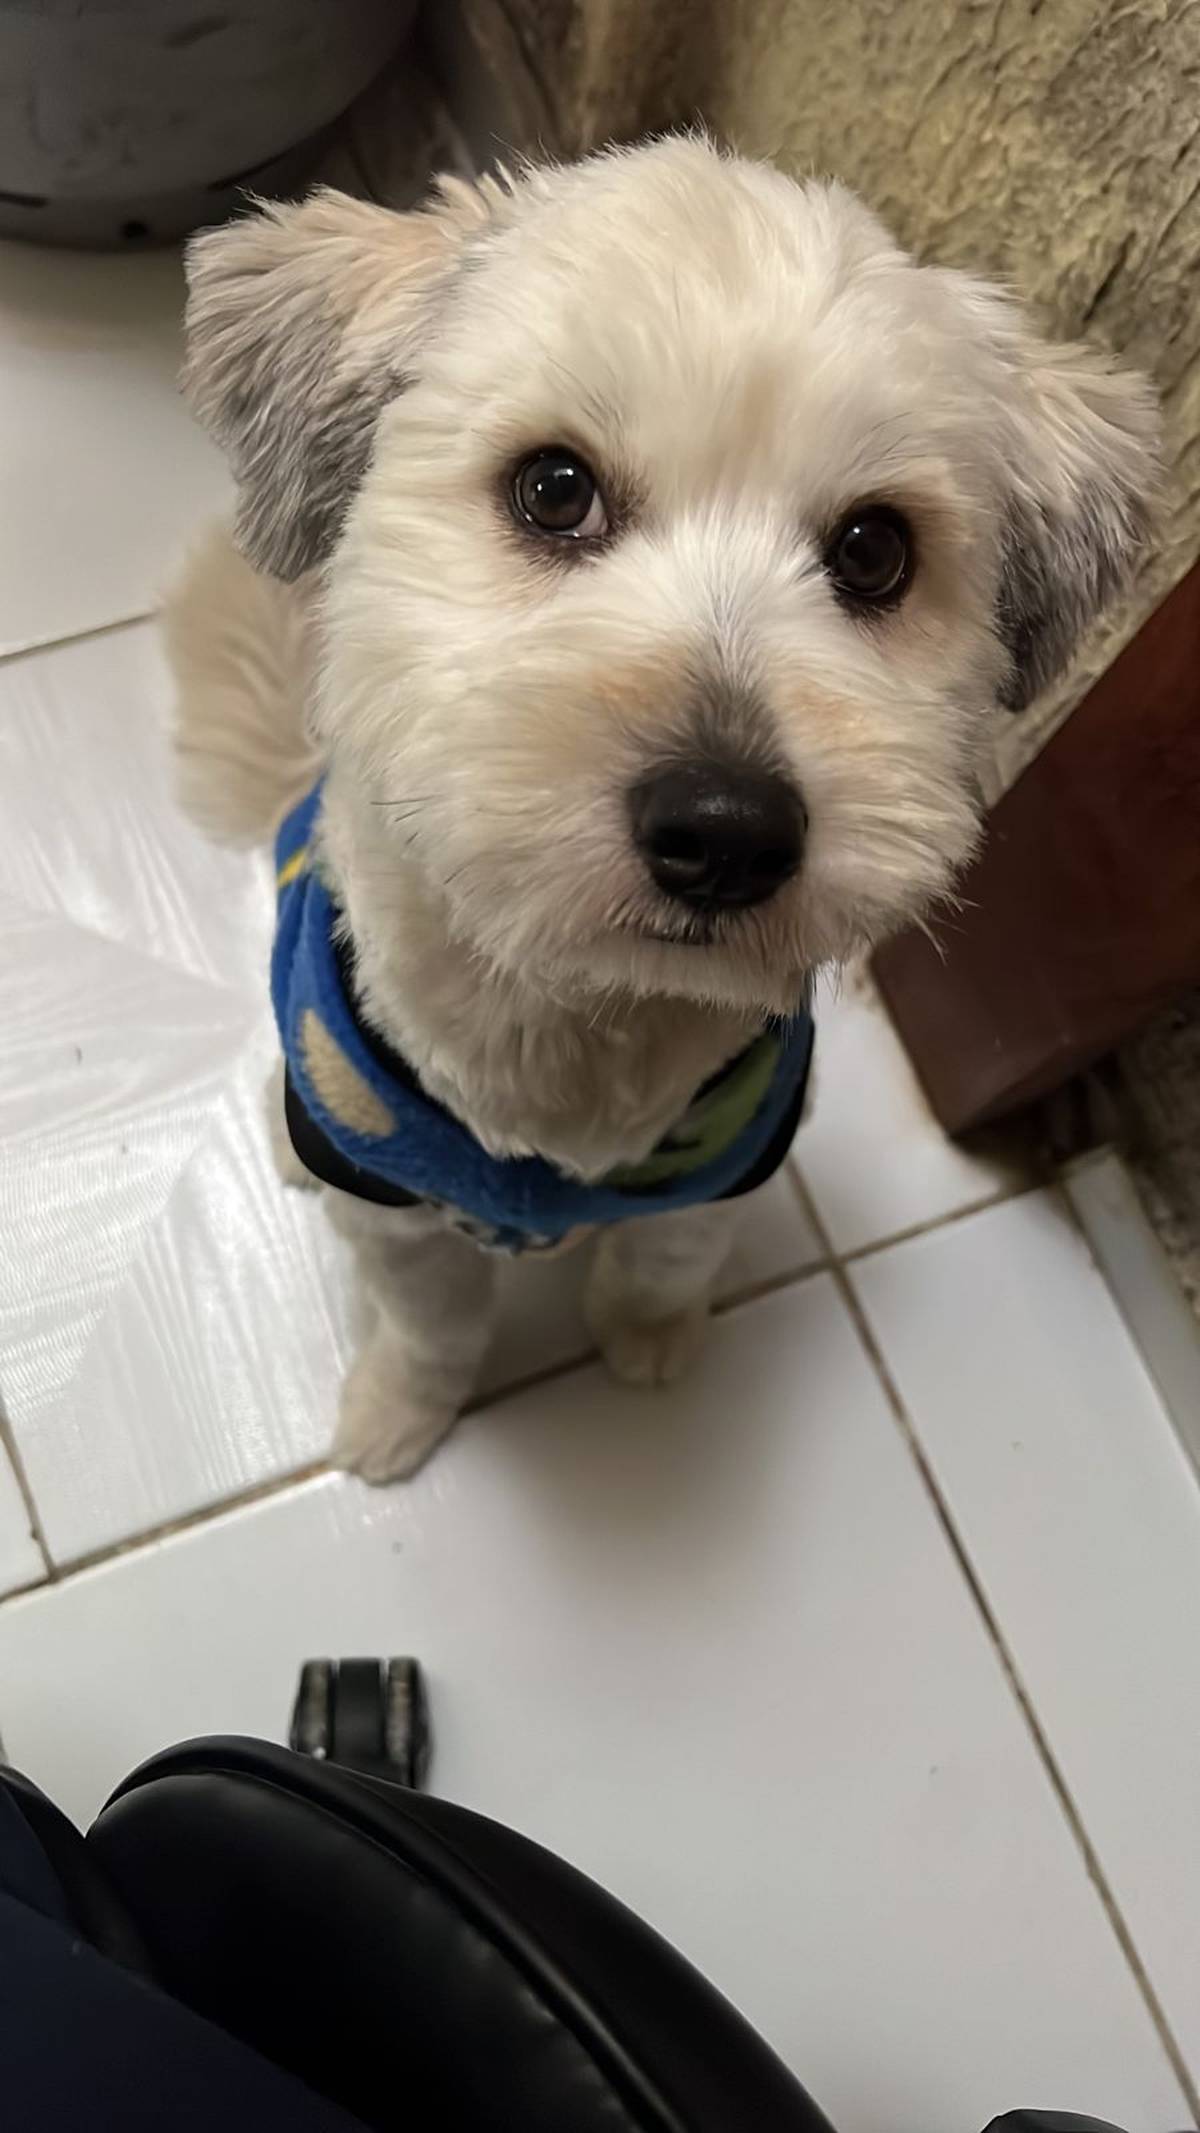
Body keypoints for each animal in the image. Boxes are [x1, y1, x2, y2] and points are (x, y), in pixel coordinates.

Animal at [165, 135, 1157, 1482]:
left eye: (875, 551)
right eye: (553, 488)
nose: (727, 832)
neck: (582, 1017)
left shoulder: (728, 1163)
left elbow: (661, 1263)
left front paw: (647, 1342)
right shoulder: (404, 1222)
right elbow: (430, 1324)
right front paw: (398, 1414)